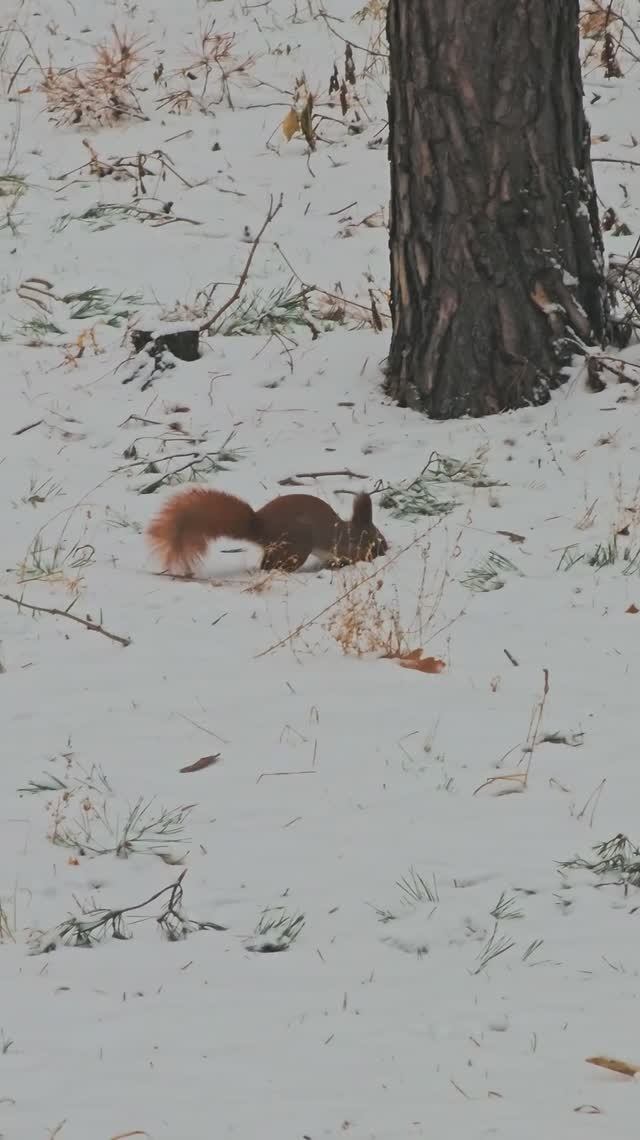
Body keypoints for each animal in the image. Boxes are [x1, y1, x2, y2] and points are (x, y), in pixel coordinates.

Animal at [147, 483, 387, 574]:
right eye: (377, 539)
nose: (385, 550)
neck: (349, 533)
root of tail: (261, 527)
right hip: (296, 547)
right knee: (274, 566)